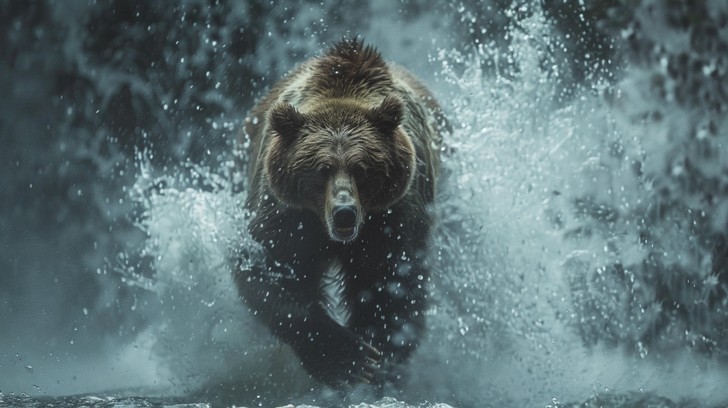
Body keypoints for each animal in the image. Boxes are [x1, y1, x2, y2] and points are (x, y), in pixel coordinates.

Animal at [234, 38, 447, 388]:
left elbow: (392, 285)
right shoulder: (289, 215)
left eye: (362, 168)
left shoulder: (392, 218)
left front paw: (378, 358)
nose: (344, 212)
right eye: (322, 169)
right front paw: (347, 358)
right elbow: (272, 270)